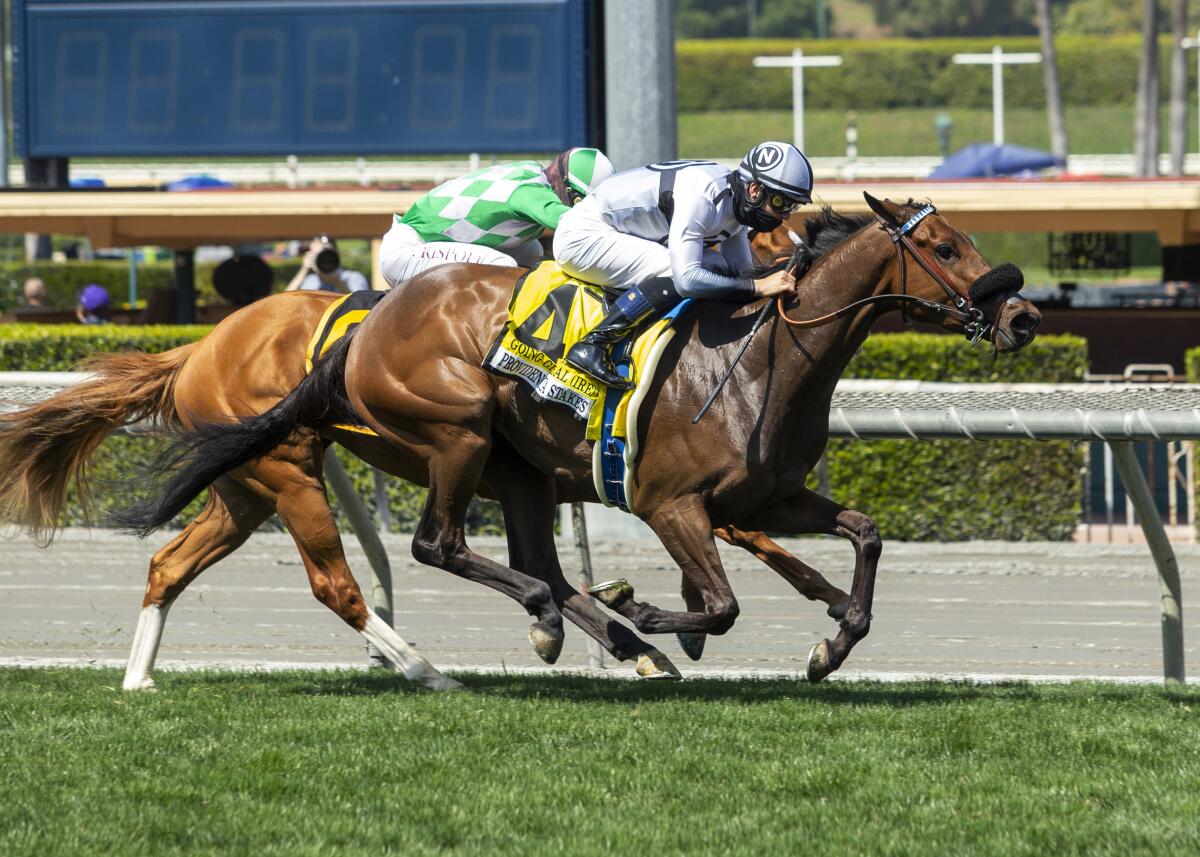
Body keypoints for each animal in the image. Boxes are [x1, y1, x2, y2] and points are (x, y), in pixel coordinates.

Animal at [75, 193, 1041, 681]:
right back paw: (468, 656)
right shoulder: (669, 502)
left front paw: (832, 639)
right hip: (430, 439)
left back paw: (140, 676)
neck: (761, 354)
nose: (1024, 315)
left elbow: (863, 536)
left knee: (176, 562)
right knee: (420, 552)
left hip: (304, 479)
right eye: (944, 246)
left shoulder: (771, 495)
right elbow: (721, 601)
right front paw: (650, 611)